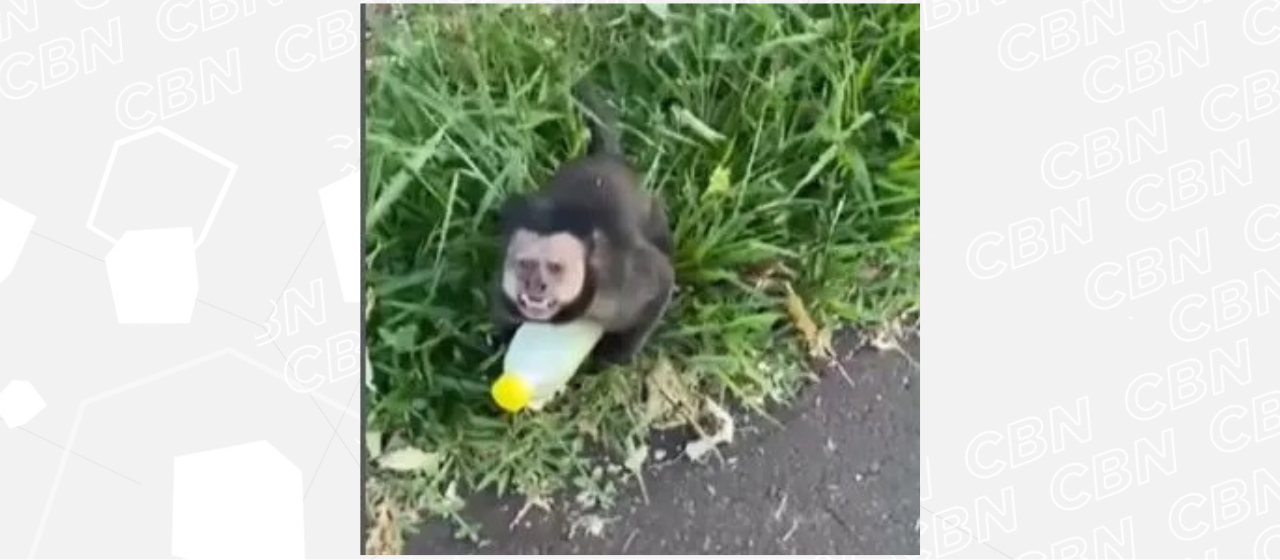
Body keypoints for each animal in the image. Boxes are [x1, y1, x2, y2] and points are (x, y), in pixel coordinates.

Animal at [491, 82, 675, 366]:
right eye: (525, 264)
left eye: (555, 268)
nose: (535, 284)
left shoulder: (623, 281)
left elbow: (663, 279)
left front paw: (617, 352)